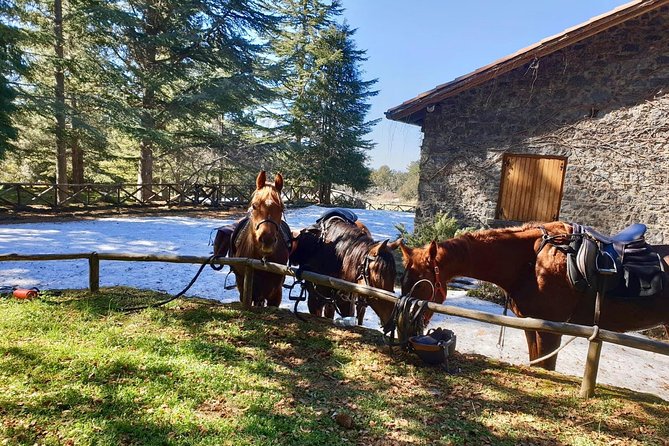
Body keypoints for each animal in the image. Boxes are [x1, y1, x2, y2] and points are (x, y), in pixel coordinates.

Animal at [396, 221, 668, 372]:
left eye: (422, 286)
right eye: (403, 282)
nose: (406, 330)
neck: (533, 261)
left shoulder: (551, 330)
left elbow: (546, 367)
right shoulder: (532, 325)